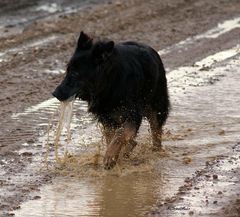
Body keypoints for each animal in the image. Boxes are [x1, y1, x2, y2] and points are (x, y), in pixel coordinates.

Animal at [53, 31, 169, 170]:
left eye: (75, 74)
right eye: (67, 71)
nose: (55, 93)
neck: (110, 83)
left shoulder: (132, 114)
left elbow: (120, 134)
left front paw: (110, 157)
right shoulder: (107, 117)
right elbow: (113, 137)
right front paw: (115, 155)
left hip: (156, 105)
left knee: (156, 130)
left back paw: (155, 151)